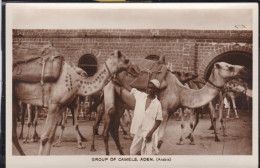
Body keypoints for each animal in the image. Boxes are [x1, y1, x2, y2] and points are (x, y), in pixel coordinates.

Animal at [98, 58, 248, 154]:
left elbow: (159, 141)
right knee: (107, 129)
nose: (244, 68)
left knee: (113, 128)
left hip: (120, 104)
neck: (180, 91)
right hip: (110, 98)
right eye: (230, 67)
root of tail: (110, 78)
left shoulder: (169, 113)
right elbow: (157, 140)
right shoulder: (164, 111)